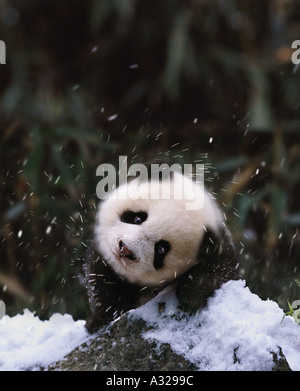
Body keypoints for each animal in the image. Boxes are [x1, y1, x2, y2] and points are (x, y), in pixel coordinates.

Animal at [84, 170, 239, 332]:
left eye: (161, 249)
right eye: (138, 218)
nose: (126, 250)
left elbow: (219, 270)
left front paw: (192, 293)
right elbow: (104, 283)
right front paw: (99, 320)